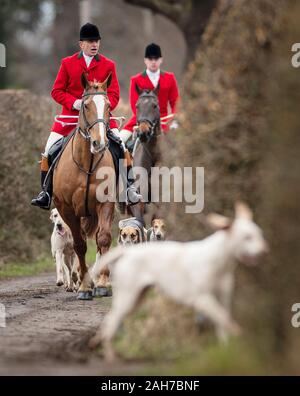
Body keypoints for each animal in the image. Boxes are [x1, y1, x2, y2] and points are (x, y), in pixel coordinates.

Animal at [52, 72, 115, 298]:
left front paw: (103, 283)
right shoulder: (67, 209)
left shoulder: (105, 203)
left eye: (108, 105)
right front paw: (84, 286)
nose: (99, 143)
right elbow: (79, 244)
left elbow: (103, 238)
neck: (86, 162)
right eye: (86, 105)